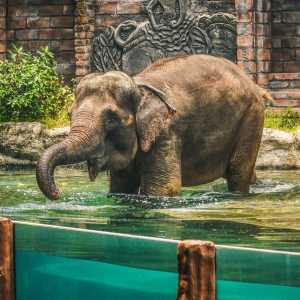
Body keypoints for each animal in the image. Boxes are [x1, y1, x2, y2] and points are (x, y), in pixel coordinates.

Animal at [37, 54, 264, 199]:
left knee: (237, 173)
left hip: (252, 117)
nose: (58, 194)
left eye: (111, 118)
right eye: (69, 114)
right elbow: (120, 188)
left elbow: (163, 191)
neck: (139, 86)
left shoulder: (166, 134)